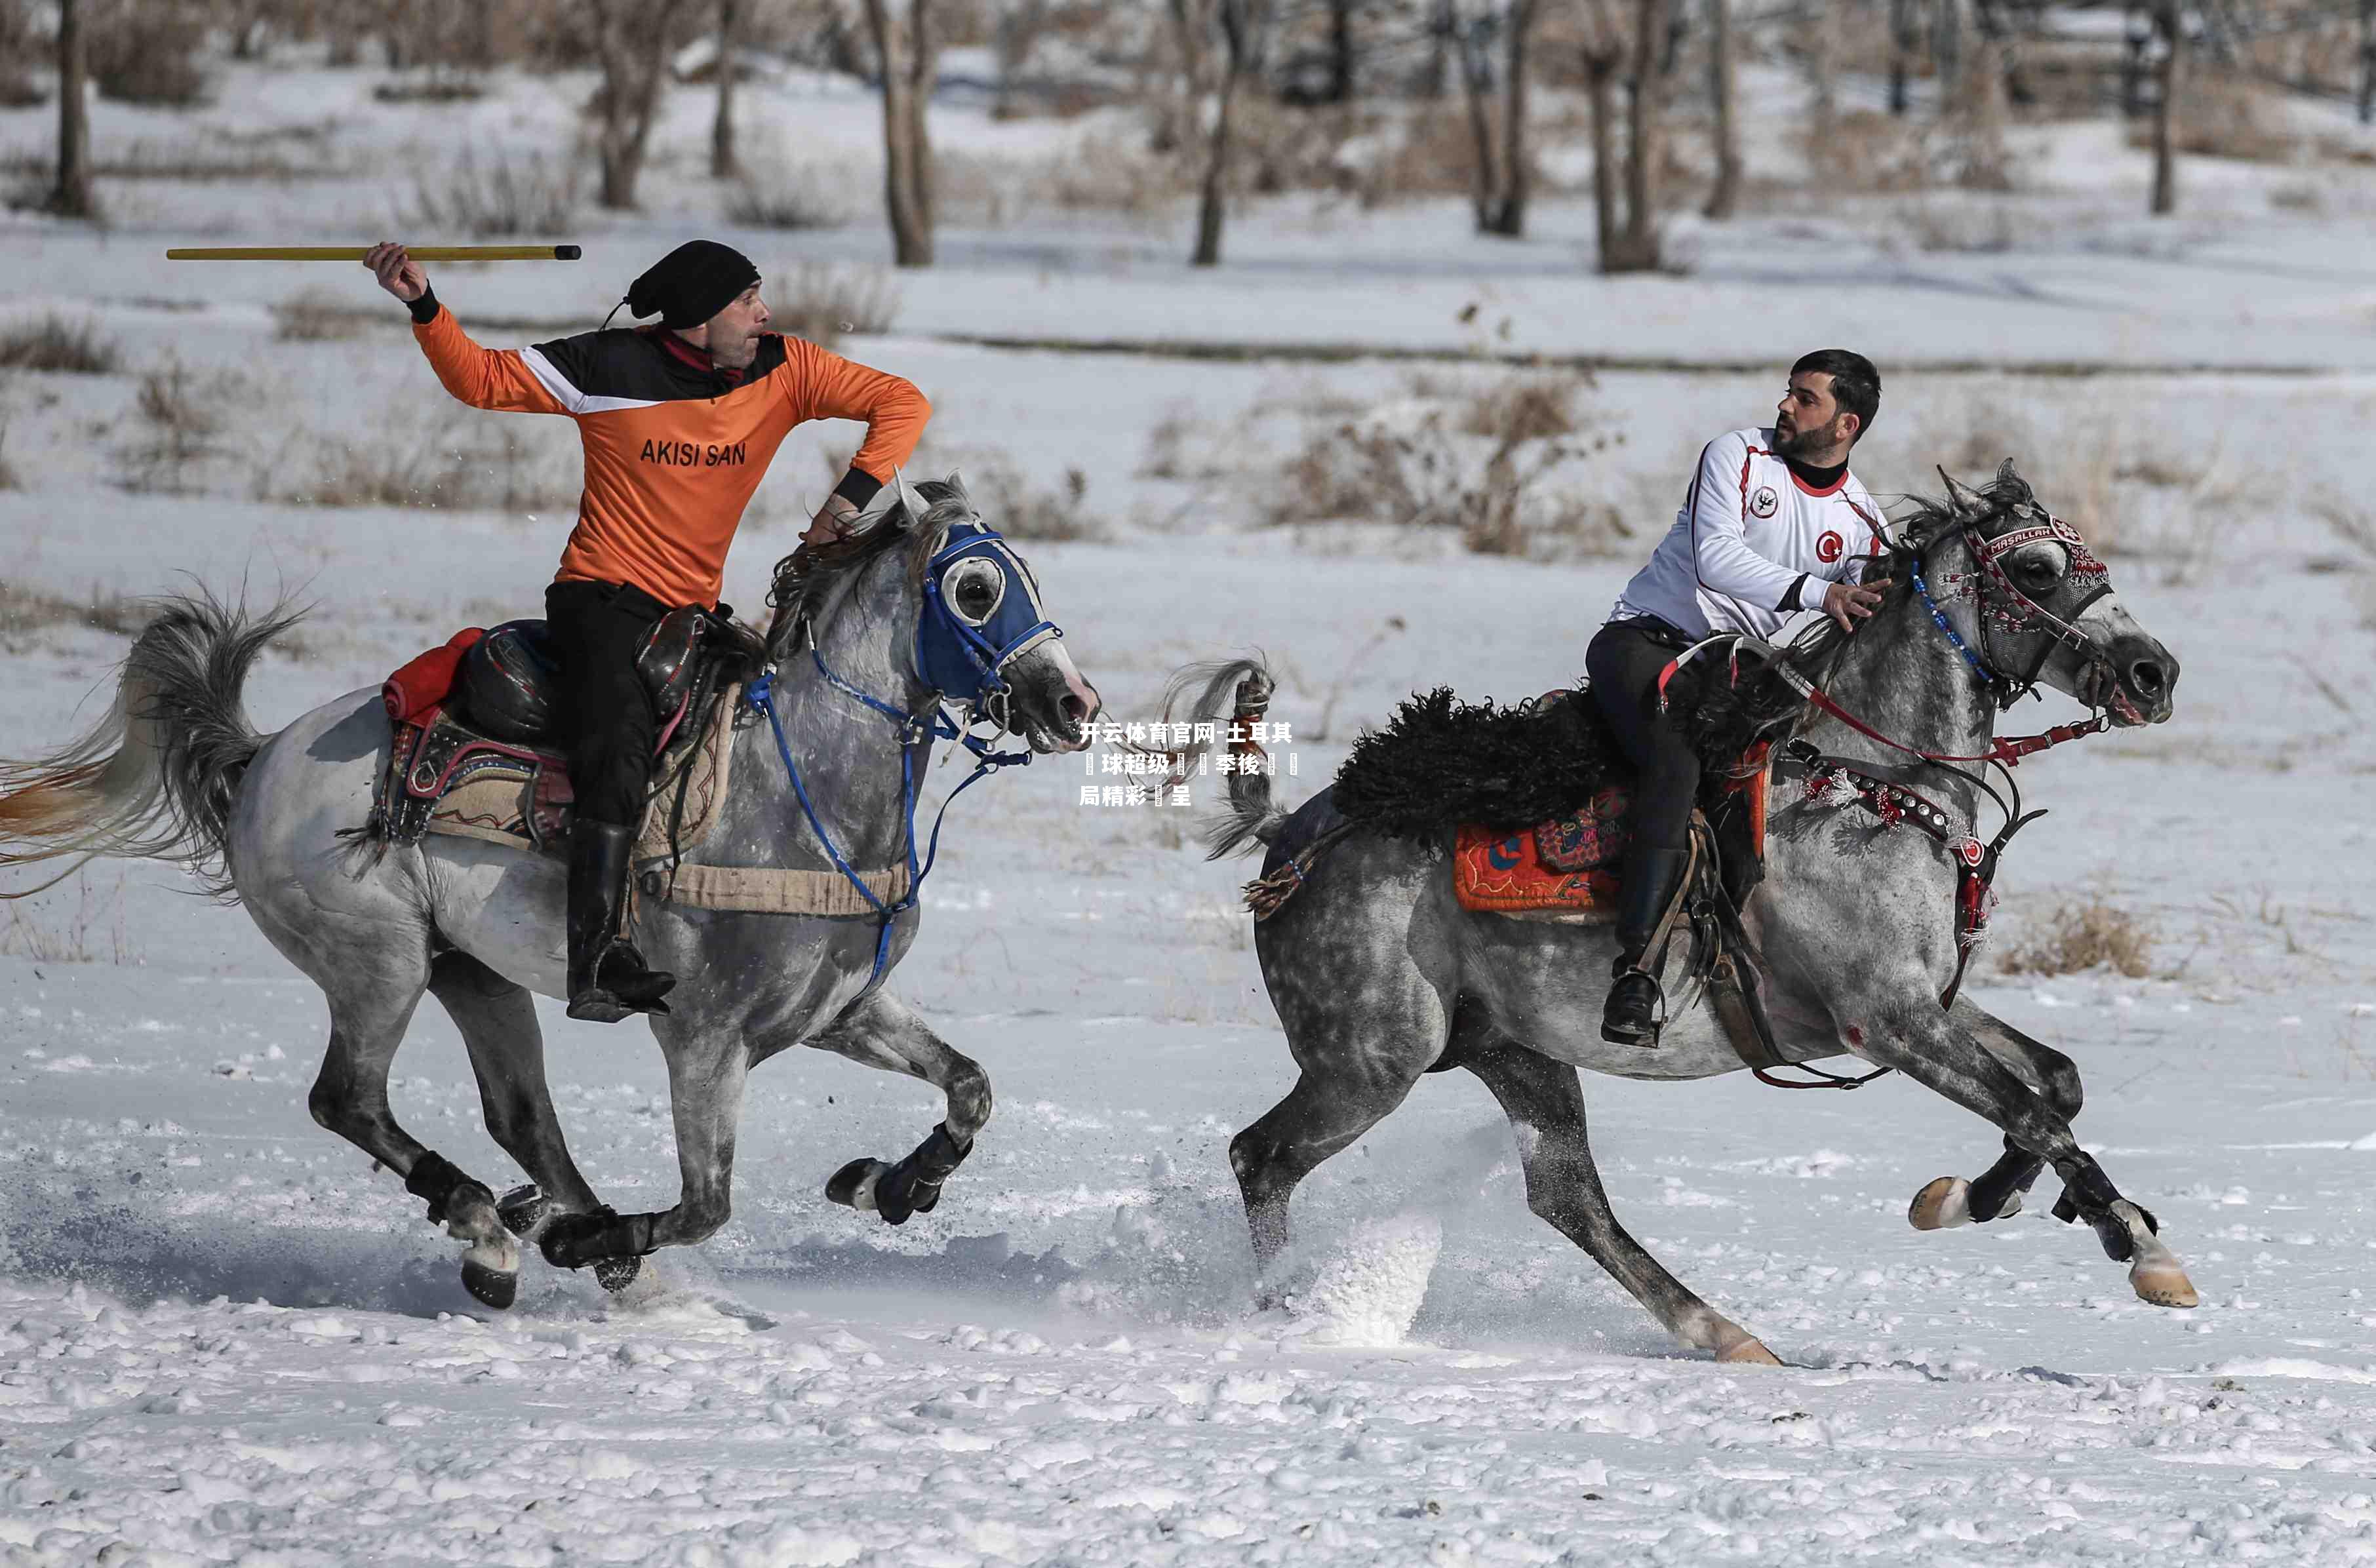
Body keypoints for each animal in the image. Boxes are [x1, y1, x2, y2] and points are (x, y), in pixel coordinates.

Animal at [0, 477, 1093, 1311]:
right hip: (378, 964)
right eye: (977, 588)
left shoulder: (839, 1010)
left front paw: (886, 1184)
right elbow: (707, 1206)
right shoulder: (703, 1039)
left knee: (522, 1119)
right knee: (348, 1099)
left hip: (471, 974)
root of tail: (263, 754)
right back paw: (499, 1231)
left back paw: (562, 1233)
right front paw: (585, 1242)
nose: (1073, 704)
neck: (799, 794)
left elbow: (971, 1086)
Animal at [1169, 458, 2186, 1368]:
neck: (1870, 784)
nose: (2154, 672)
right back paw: (1282, 1310)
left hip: (1514, 1052)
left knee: (1567, 1196)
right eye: (2037, 571)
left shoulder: (1928, 1001)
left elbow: (2054, 1085)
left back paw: (1727, 1335)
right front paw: (2146, 1252)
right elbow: (2034, 1110)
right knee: (1262, 1157)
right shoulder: (1884, 1019)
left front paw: (1971, 1199)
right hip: (1374, 1059)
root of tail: (1288, 839)